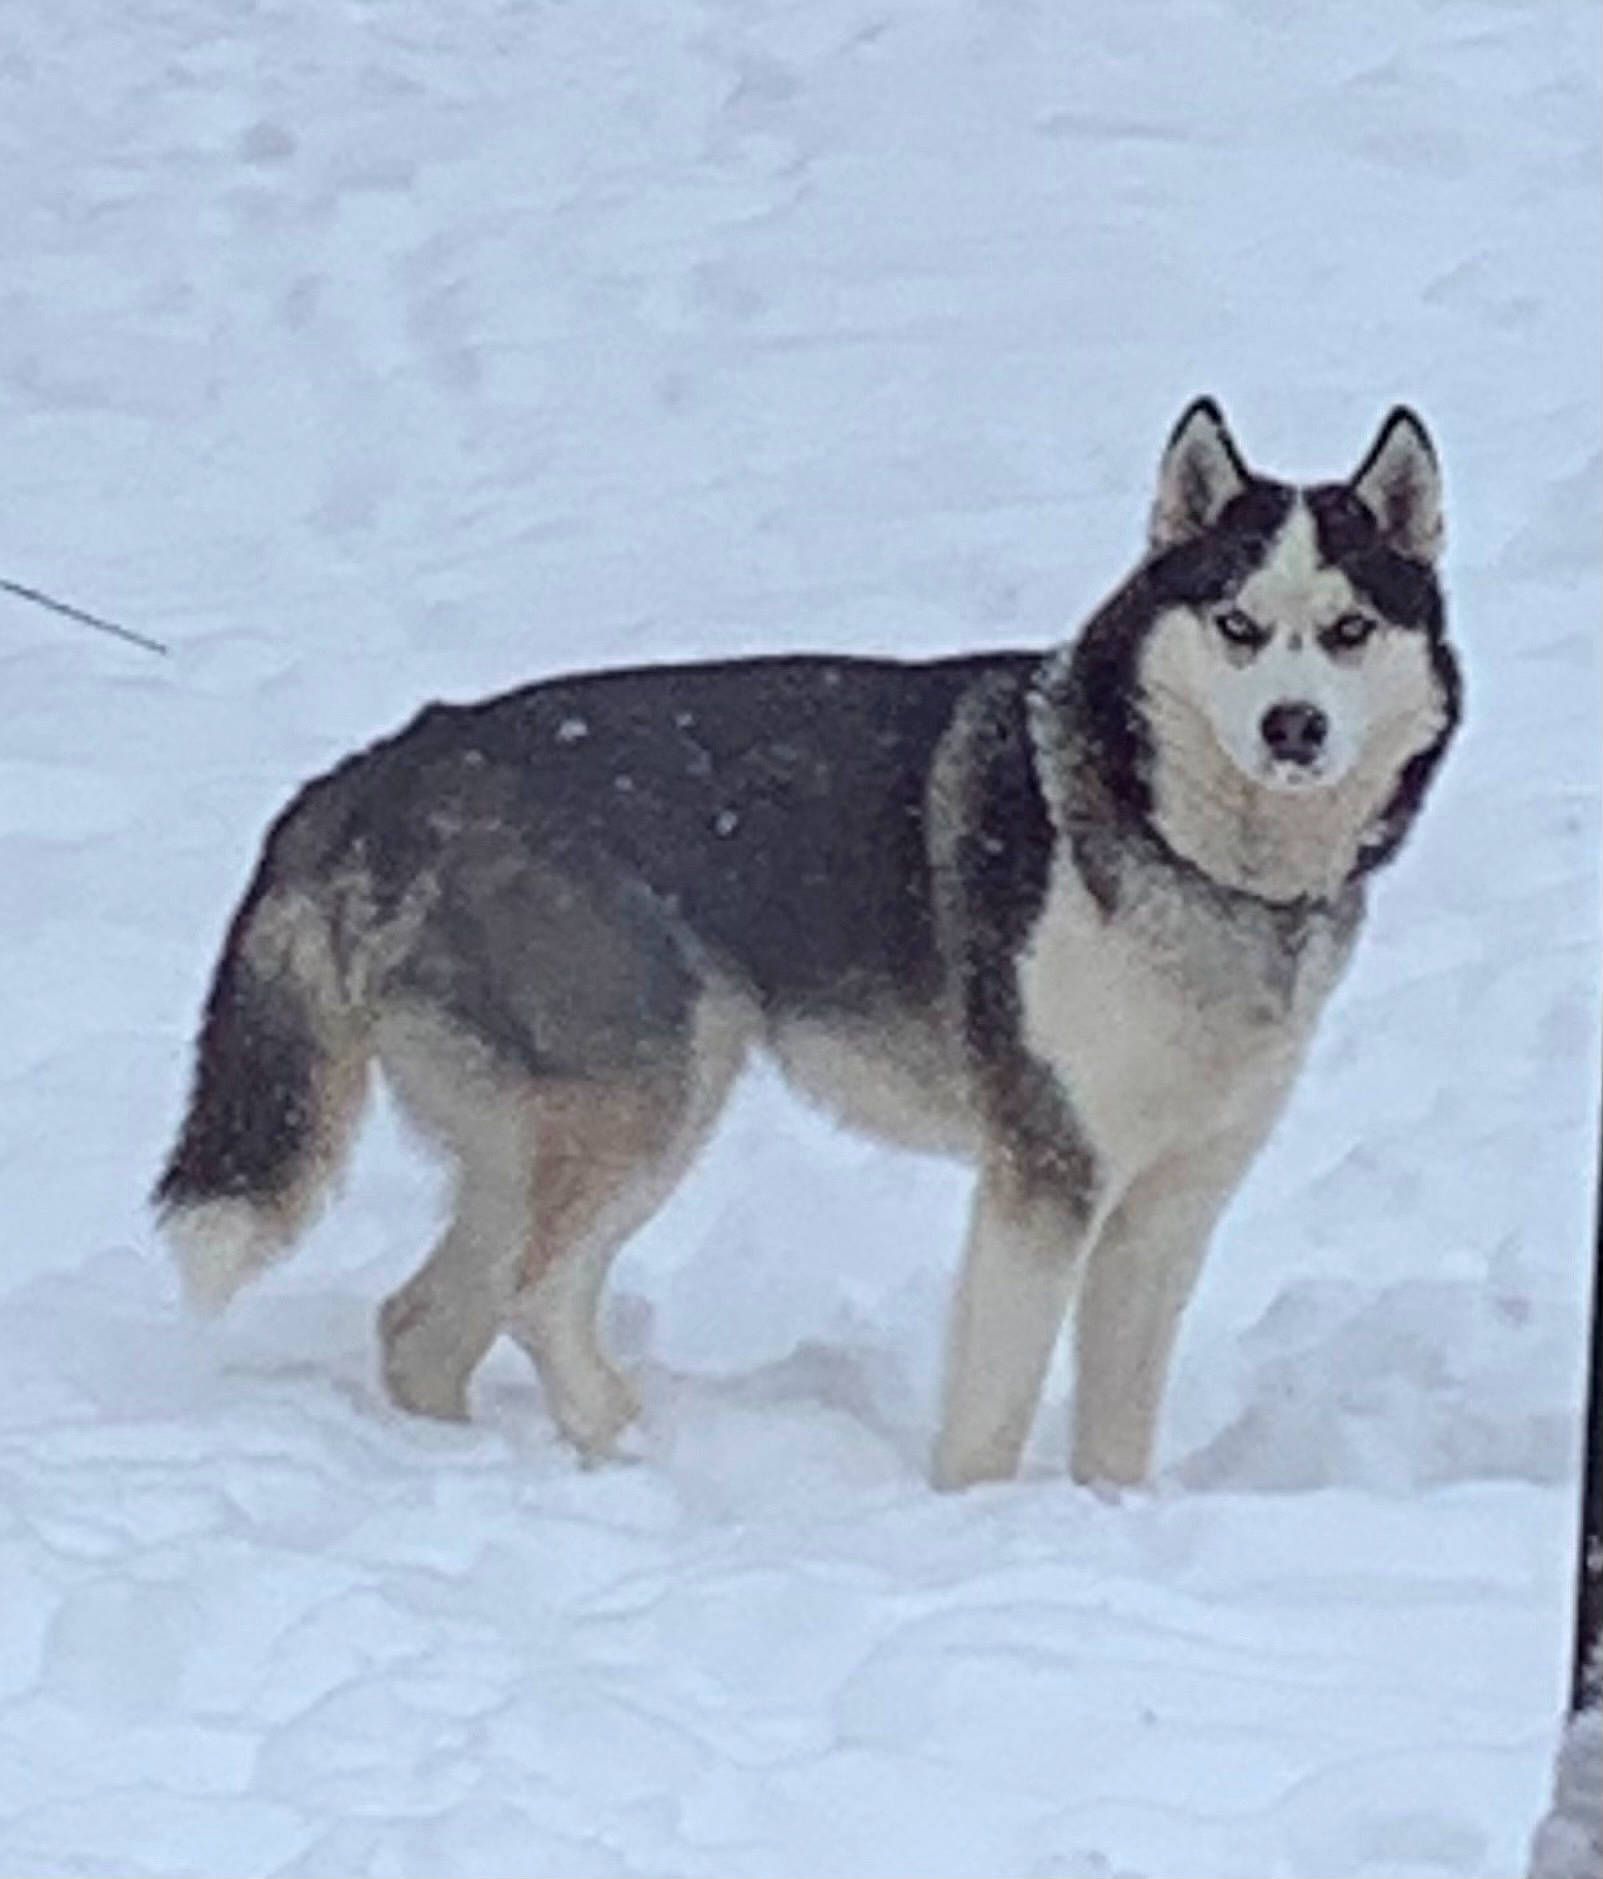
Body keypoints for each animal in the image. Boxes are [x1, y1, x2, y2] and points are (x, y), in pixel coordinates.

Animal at [154, 399, 1460, 1489]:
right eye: (1238, 625)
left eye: (1349, 628)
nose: (1294, 726)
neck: (1185, 850)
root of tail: (382, 766)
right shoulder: (1045, 1172)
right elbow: (988, 1415)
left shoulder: (1170, 1201)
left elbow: (1116, 1428)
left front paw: (1111, 1527)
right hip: (655, 1092)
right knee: (535, 1293)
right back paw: (627, 1448)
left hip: (531, 1129)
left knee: (425, 1323)